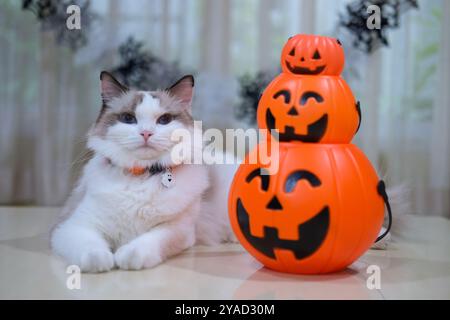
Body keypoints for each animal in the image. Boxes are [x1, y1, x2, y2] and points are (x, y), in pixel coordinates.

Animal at [51, 72, 237, 272]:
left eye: (164, 120)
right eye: (128, 118)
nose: (146, 133)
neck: (141, 175)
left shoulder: (177, 229)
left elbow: (146, 242)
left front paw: (127, 258)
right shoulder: (73, 226)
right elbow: (91, 248)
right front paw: (101, 261)